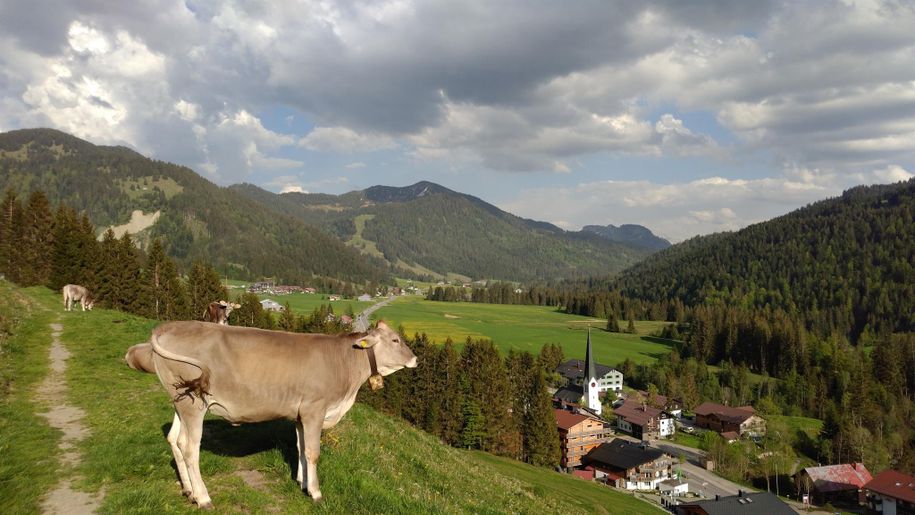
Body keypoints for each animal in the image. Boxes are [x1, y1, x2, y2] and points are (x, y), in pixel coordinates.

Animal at [128, 320, 416, 510]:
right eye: (395, 340)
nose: (415, 359)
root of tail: (169, 326)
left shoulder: (300, 414)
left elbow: (300, 448)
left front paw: (302, 482)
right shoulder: (314, 408)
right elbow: (313, 452)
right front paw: (316, 492)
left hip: (181, 400)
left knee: (175, 439)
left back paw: (188, 490)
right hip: (194, 404)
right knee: (190, 448)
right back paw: (203, 498)